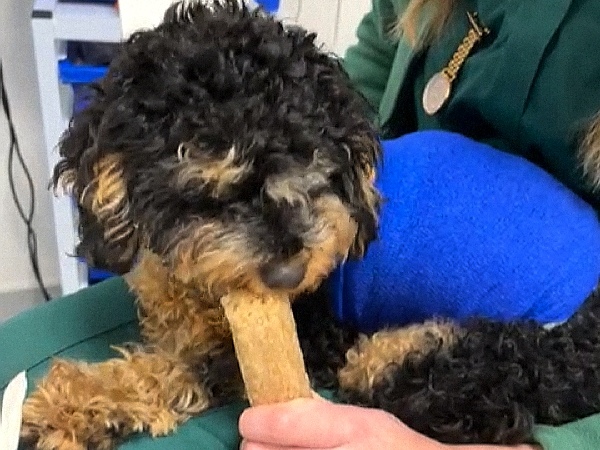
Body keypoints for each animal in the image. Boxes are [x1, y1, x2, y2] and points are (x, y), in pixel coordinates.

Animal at [21, 0, 600, 448]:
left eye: (317, 167)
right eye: (206, 186)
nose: (288, 277)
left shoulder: (307, 334)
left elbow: (174, 369)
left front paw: (71, 401)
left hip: (438, 356)